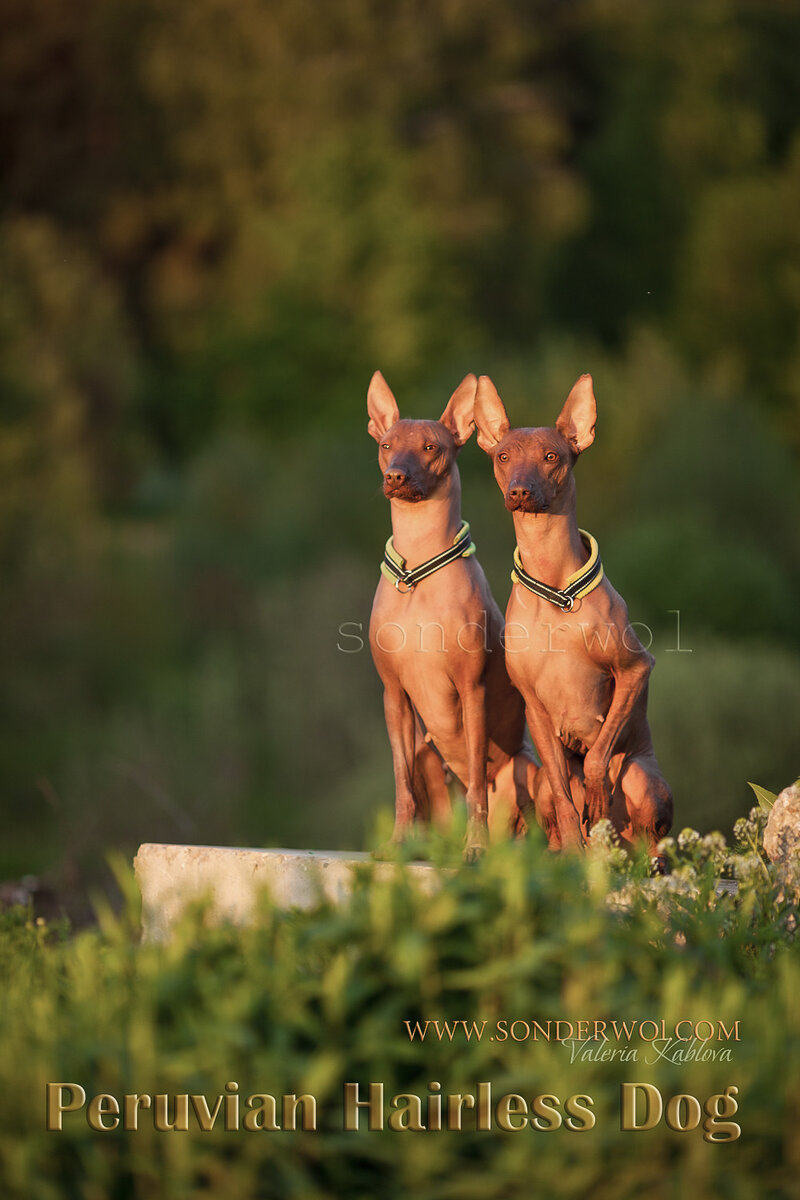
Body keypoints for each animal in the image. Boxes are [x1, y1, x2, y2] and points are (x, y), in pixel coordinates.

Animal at [367, 369, 546, 859]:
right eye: (387, 444)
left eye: (431, 447)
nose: (395, 475)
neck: (419, 569)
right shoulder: (394, 696)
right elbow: (401, 784)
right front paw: (397, 842)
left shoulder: (472, 690)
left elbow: (478, 789)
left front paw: (477, 846)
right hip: (426, 752)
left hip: (528, 767)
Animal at [474, 374, 676, 854]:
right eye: (503, 456)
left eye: (552, 457)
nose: (520, 490)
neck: (555, 589)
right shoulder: (535, 710)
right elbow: (566, 800)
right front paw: (571, 847)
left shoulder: (636, 669)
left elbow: (598, 755)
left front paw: (598, 790)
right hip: (541, 785)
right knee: (557, 802)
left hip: (643, 780)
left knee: (650, 842)